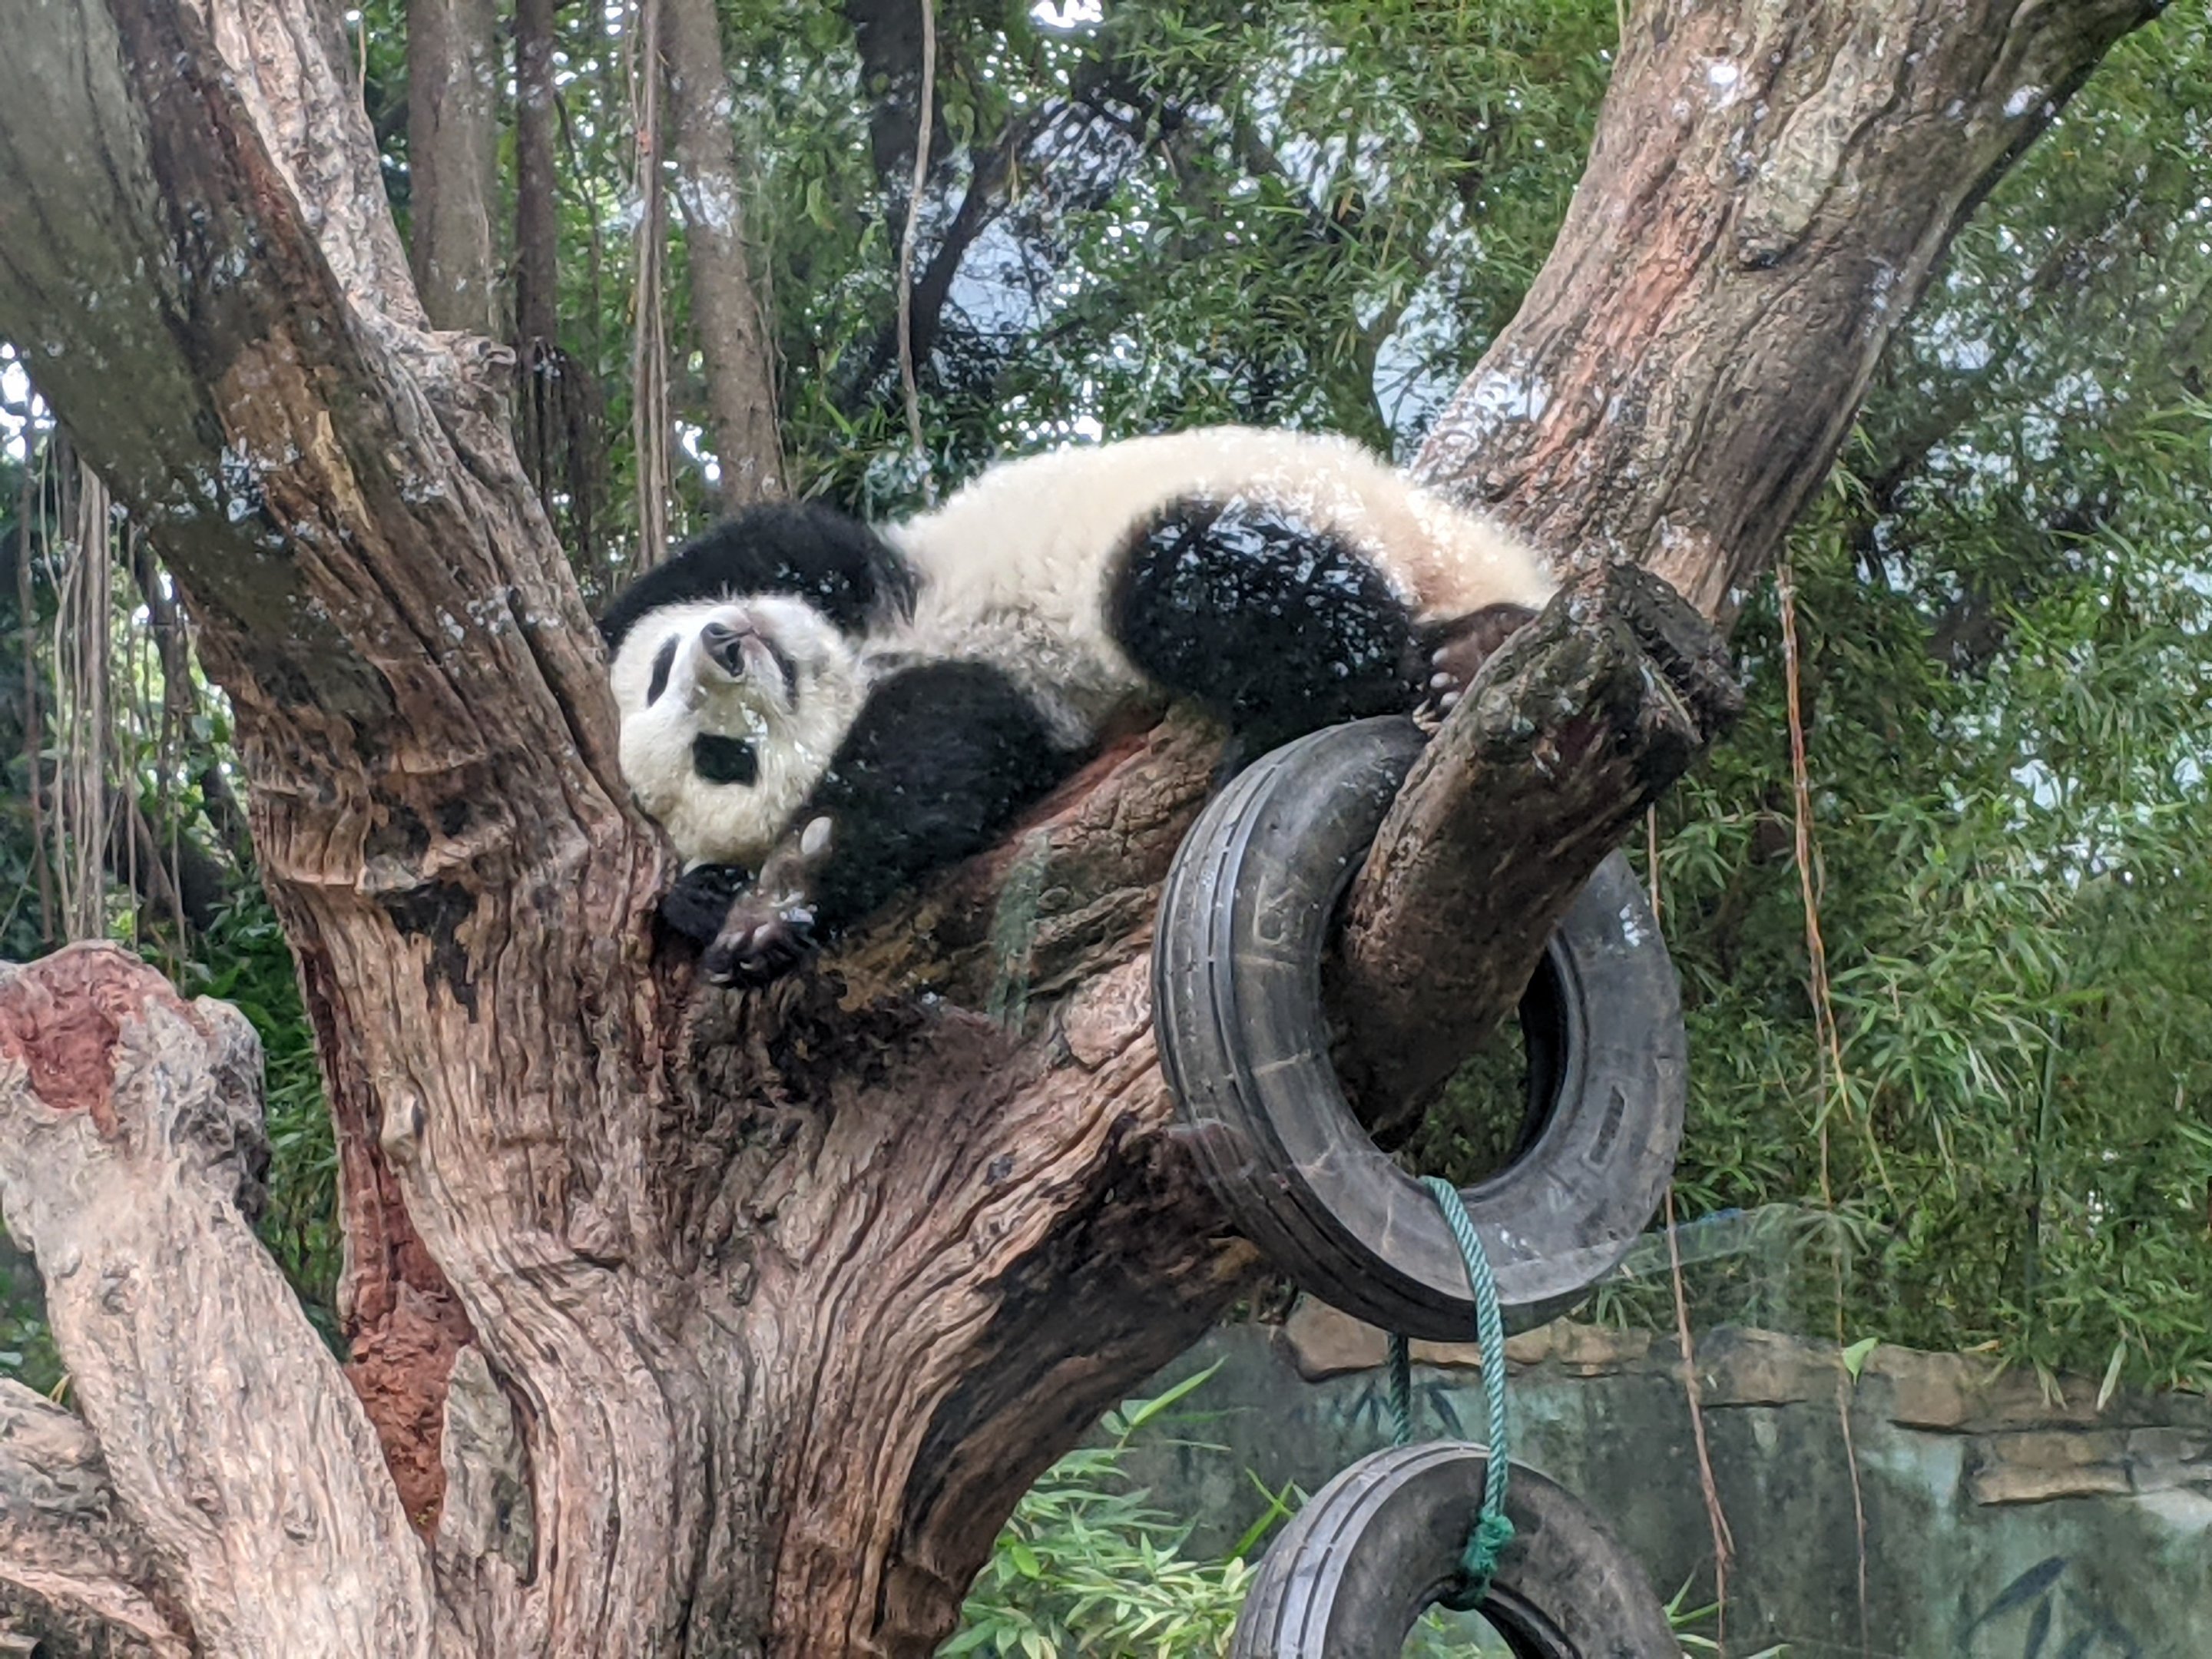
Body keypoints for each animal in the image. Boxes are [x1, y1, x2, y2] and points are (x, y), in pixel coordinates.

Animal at [598, 426, 1555, 985]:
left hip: (1332, 509)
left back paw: (1455, 657)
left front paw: (762, 909)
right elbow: (939, 759)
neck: (867, 655)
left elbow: (751, 548)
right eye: (726, 757)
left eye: (660, 670)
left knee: (1188, 577)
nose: (728, 645)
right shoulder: (1016, 705)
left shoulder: (849, 566)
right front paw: (745, 908)